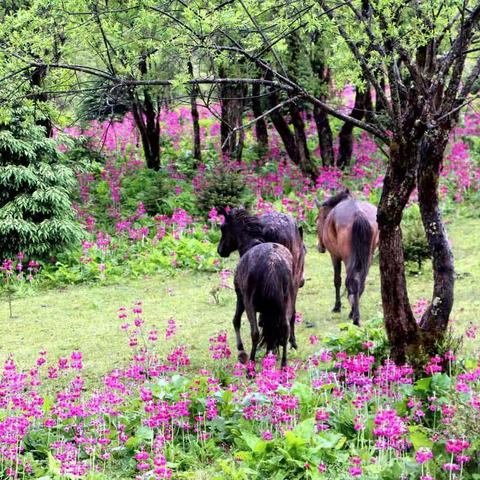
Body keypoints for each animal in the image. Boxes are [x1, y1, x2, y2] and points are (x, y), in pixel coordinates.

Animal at [316, 189, 378, 324]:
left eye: (317, 219)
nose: (319, 247)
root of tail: (358, 213)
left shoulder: (335, 256)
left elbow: (337, 280)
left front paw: (337, 306)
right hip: (368, 258)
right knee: (361, 281)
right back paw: (353, 312)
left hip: (348, 258)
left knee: (353, 281)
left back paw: (354, 316)